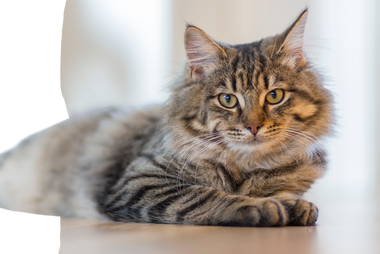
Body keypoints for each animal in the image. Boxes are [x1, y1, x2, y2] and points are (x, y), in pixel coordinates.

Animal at [0, 8, 332, 226]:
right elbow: (206, 195)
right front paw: (263, 206)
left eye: (274, 96)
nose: (253, 126)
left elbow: (287, 191)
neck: (247, 167)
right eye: (227, 100)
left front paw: (295, 204)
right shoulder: (141, 180)